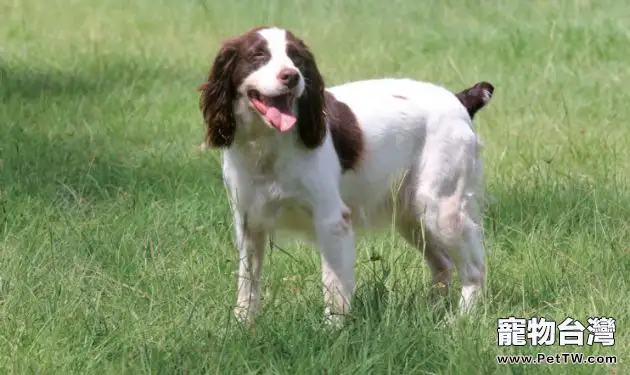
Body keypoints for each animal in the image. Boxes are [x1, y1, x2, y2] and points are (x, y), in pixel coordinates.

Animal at [200, 25, 496, 326]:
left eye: (296, 58)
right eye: (258, 55)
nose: (291, 76)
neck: (268, 143)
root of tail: (458, 99)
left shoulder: (331, 220)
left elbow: (334, 286)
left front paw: (333, 328)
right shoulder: (249, 222)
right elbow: (247, 282)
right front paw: (242, 324)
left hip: (441, 208)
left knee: (474, 267)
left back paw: (460, 319)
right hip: (412, 216)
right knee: (443, 264)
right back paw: (432, 312)